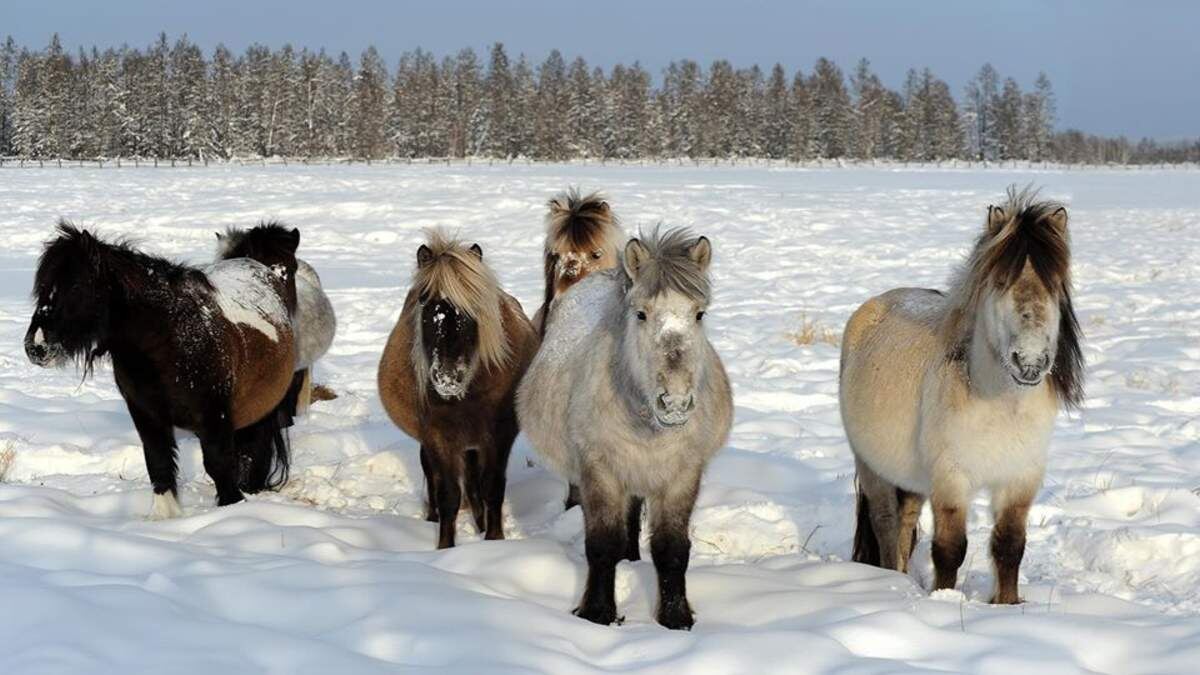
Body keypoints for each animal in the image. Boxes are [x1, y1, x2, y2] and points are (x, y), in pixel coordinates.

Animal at [24, 220, 298, 514]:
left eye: (76, 287)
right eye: (42, 287)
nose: (35, 346)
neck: (169, 341)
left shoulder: (215, 416)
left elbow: (219, 464)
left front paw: (232, 509)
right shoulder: (146, 414)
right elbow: (159, 464)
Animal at [379, 229, 540, 547]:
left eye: (473, 307)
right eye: (425, 302)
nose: (447, 377)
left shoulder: (498, 436)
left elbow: (491, 488)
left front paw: (493, 539)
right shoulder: (438, 438)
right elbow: (448, 495)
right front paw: (445, 547)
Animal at [520, 227, 734, 629]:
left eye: (699, 314)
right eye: (641, 314)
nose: (675, 402)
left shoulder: (681, 475)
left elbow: (672, 549)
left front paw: (676, 617)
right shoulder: (600, 471)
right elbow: (602, 544)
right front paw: (597, 613)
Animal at [840, 186, 1084, 600]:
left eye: (1054, 286)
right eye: (999, 282)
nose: (1030, 362)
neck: (1001, 406)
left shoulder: (1020, 479)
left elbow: (1010, 546)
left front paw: (1007, 604)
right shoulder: (951, 479)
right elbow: (950, 550)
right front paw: (943, 599)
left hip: (911, 476)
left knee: (905, 521)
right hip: (871, 464)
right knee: (886, 522)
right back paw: (893, 580)